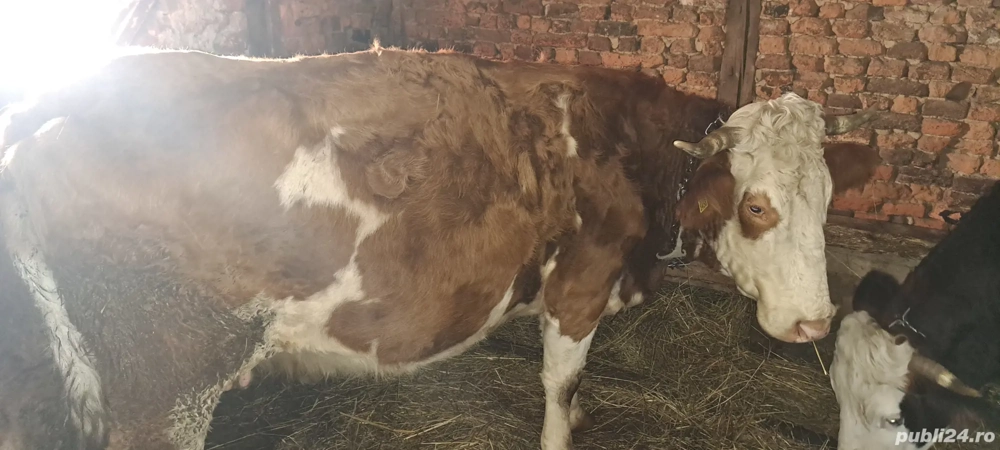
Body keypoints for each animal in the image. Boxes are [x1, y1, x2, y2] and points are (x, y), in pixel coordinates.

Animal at [0, 45, 879, 450]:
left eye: (828, 202)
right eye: (757, 206)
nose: (815, 322)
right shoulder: (578, 284)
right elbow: (559, 383)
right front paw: (564, 426)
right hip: (166, 383)